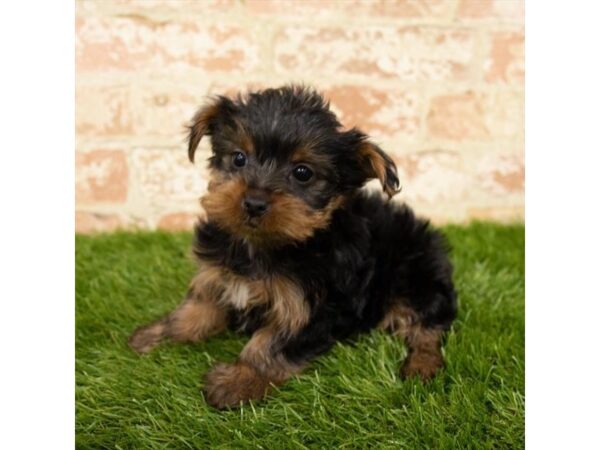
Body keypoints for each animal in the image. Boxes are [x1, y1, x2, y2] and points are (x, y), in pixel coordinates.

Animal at [129, 85, 458, 412]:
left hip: (416, 276)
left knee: (428, 325)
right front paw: (156, 335)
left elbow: (268, 344)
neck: (263, 246)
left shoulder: (308, 307)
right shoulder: (217, 276)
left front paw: (238, 381)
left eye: (303, 173)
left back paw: (422, 366)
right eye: (238, 158)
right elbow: (195, 309)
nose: (254, 202)